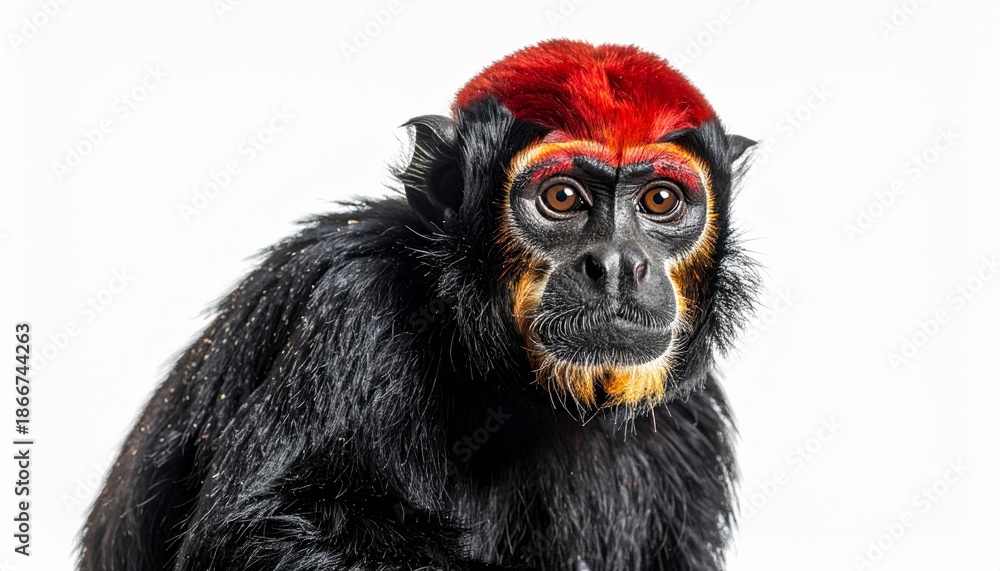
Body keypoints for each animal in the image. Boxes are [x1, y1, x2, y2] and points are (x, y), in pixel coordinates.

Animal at [80, 39, 758, 571]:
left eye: (660, 201)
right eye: (562, 198)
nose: (619, 264)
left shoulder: (691, 424)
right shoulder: (357, 305)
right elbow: (259, 536)